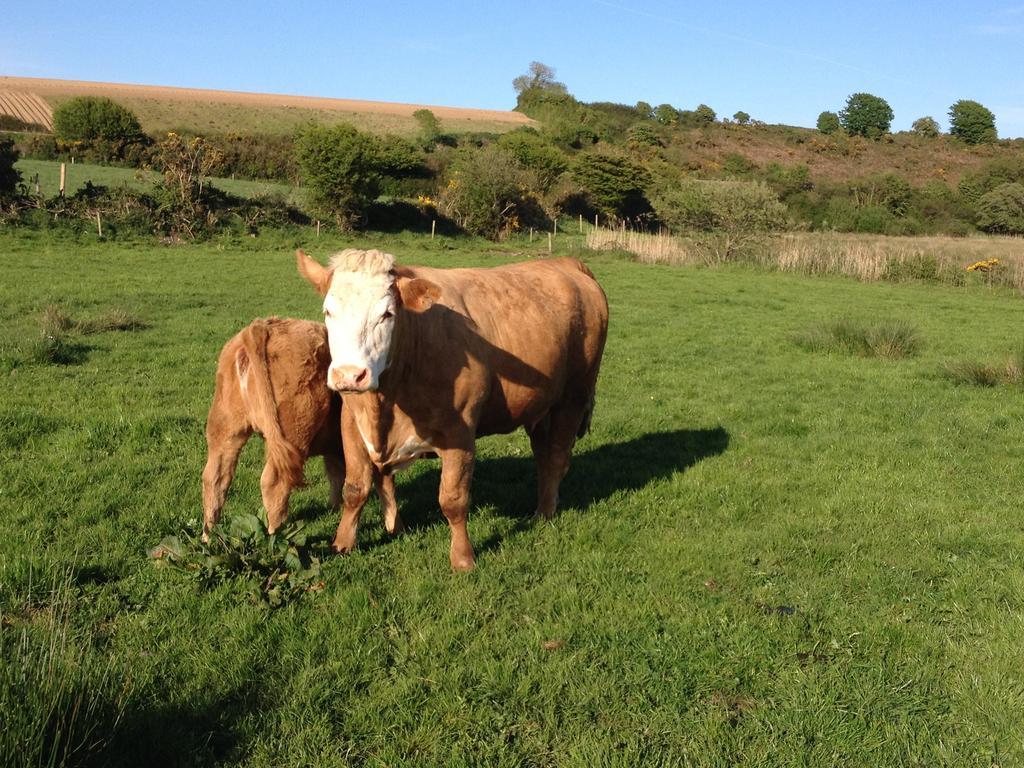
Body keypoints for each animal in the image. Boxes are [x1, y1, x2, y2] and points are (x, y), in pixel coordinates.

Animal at [201, 319, 401, 540]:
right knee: (274, 482)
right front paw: (394, 526)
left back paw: (209, 536)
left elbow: (336, 473)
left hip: (225, 430)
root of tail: (264, 325)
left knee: (215, 477)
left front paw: (335, 508)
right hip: (294, 432)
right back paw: (277, 535)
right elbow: (384, 481)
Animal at [296, 247, 606, 573]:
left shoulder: (459, 433)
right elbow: (355, 488)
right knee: (543, 455)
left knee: (557, 457)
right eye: (328, 311)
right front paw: (345, 542)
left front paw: (463, 558)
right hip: (540, 407)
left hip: (573, 396)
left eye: (387, 313)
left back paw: (543, 513)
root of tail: (565, 264)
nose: (349, 375)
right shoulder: (352, 424)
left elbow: (453, 499)